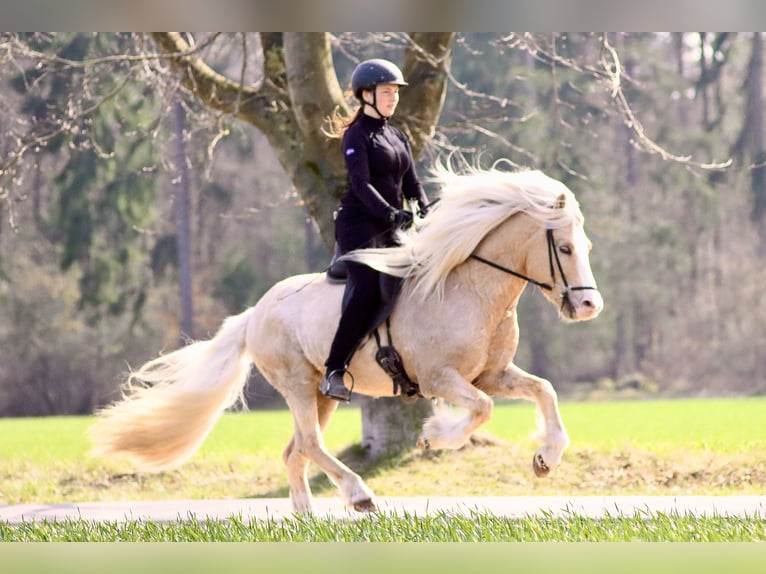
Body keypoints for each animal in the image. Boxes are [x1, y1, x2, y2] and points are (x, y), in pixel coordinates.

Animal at [90, 165, 604, 515]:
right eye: (563, 248)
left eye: (586, 247)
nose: (588, 307)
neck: (470, 288)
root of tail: (256, 312)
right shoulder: (441, 378)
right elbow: (482, 409)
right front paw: (434, 436)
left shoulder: (491, 373)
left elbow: (543, 390)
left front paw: (545, 457)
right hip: (298, 385)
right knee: (312, 445)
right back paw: (359, 495)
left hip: (321, 393)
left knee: (295, 449)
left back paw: (305, 515)